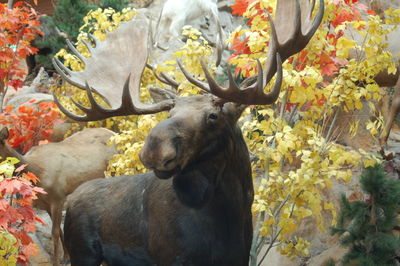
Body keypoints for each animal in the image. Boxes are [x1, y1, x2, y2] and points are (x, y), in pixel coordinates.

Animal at [51, 0, 324, 264]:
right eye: (170, 113)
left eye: (213, 116)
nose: (154, 149)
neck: (229, 217)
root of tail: (69, 201)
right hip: (82, 253)